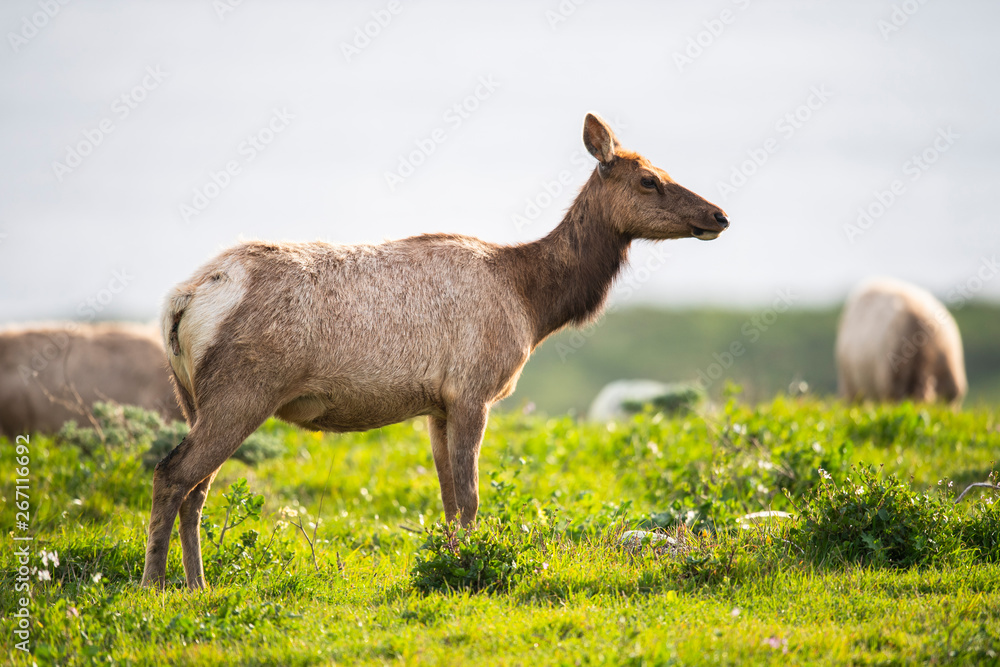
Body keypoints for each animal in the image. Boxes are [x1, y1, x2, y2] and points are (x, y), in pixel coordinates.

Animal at [141, 112, 730, 589]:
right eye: (649, 179)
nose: (719, 216)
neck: (532, 303)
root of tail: (181, 300)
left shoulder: (437, 404)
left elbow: (447, 500)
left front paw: (449, 563)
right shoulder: (474, 389)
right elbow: (469, 498)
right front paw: (468, 567)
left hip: (195, 397)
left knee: (197, 487)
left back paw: (197, 584)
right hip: (243, 390)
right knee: (173, 472)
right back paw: (154, 585)